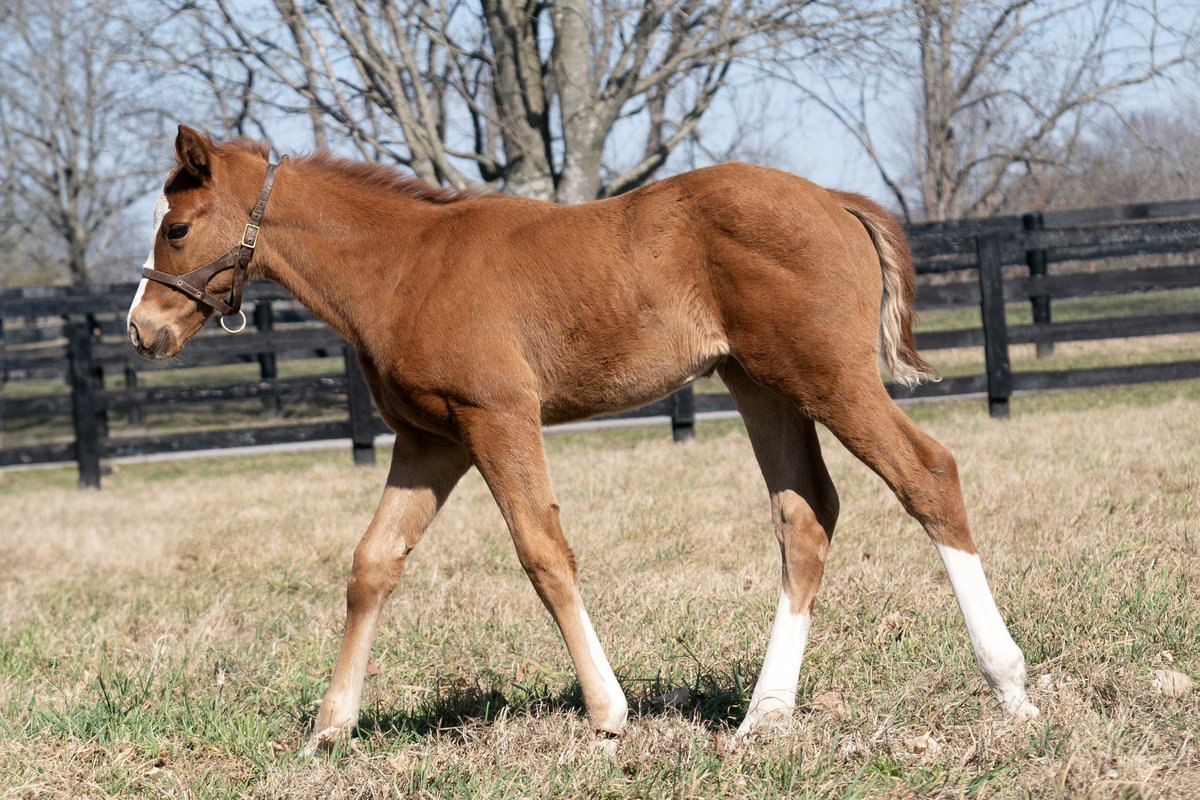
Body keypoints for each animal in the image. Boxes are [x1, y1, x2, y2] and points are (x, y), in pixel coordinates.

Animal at [127, 125, 1038, 754]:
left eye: (177, 229)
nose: (143, 330)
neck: (405, 266)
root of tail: (832, 198)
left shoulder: (497, 418)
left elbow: (542, 552)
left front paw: (608, 714)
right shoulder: (430, 442)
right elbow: (373, 563)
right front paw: (330, 727)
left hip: (828, 378)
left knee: (928, 474)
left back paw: (1010, 687)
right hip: (760, 386)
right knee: (806, 514)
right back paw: (762, 716)